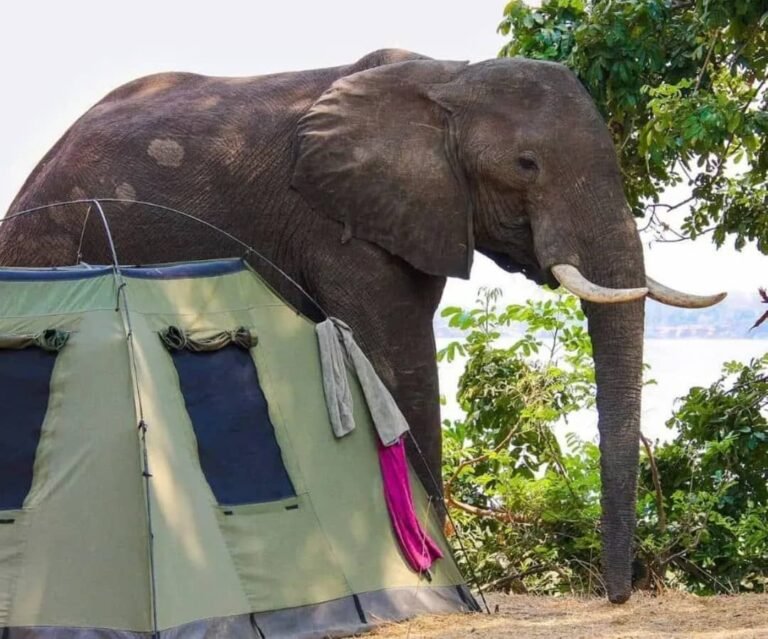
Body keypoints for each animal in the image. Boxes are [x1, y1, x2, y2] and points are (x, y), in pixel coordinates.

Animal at [0, 48, 724, 603]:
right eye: (526, 165)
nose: (618, 595)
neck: (449, 79)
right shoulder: (338, 222)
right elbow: (396, 360)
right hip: (53, 241)